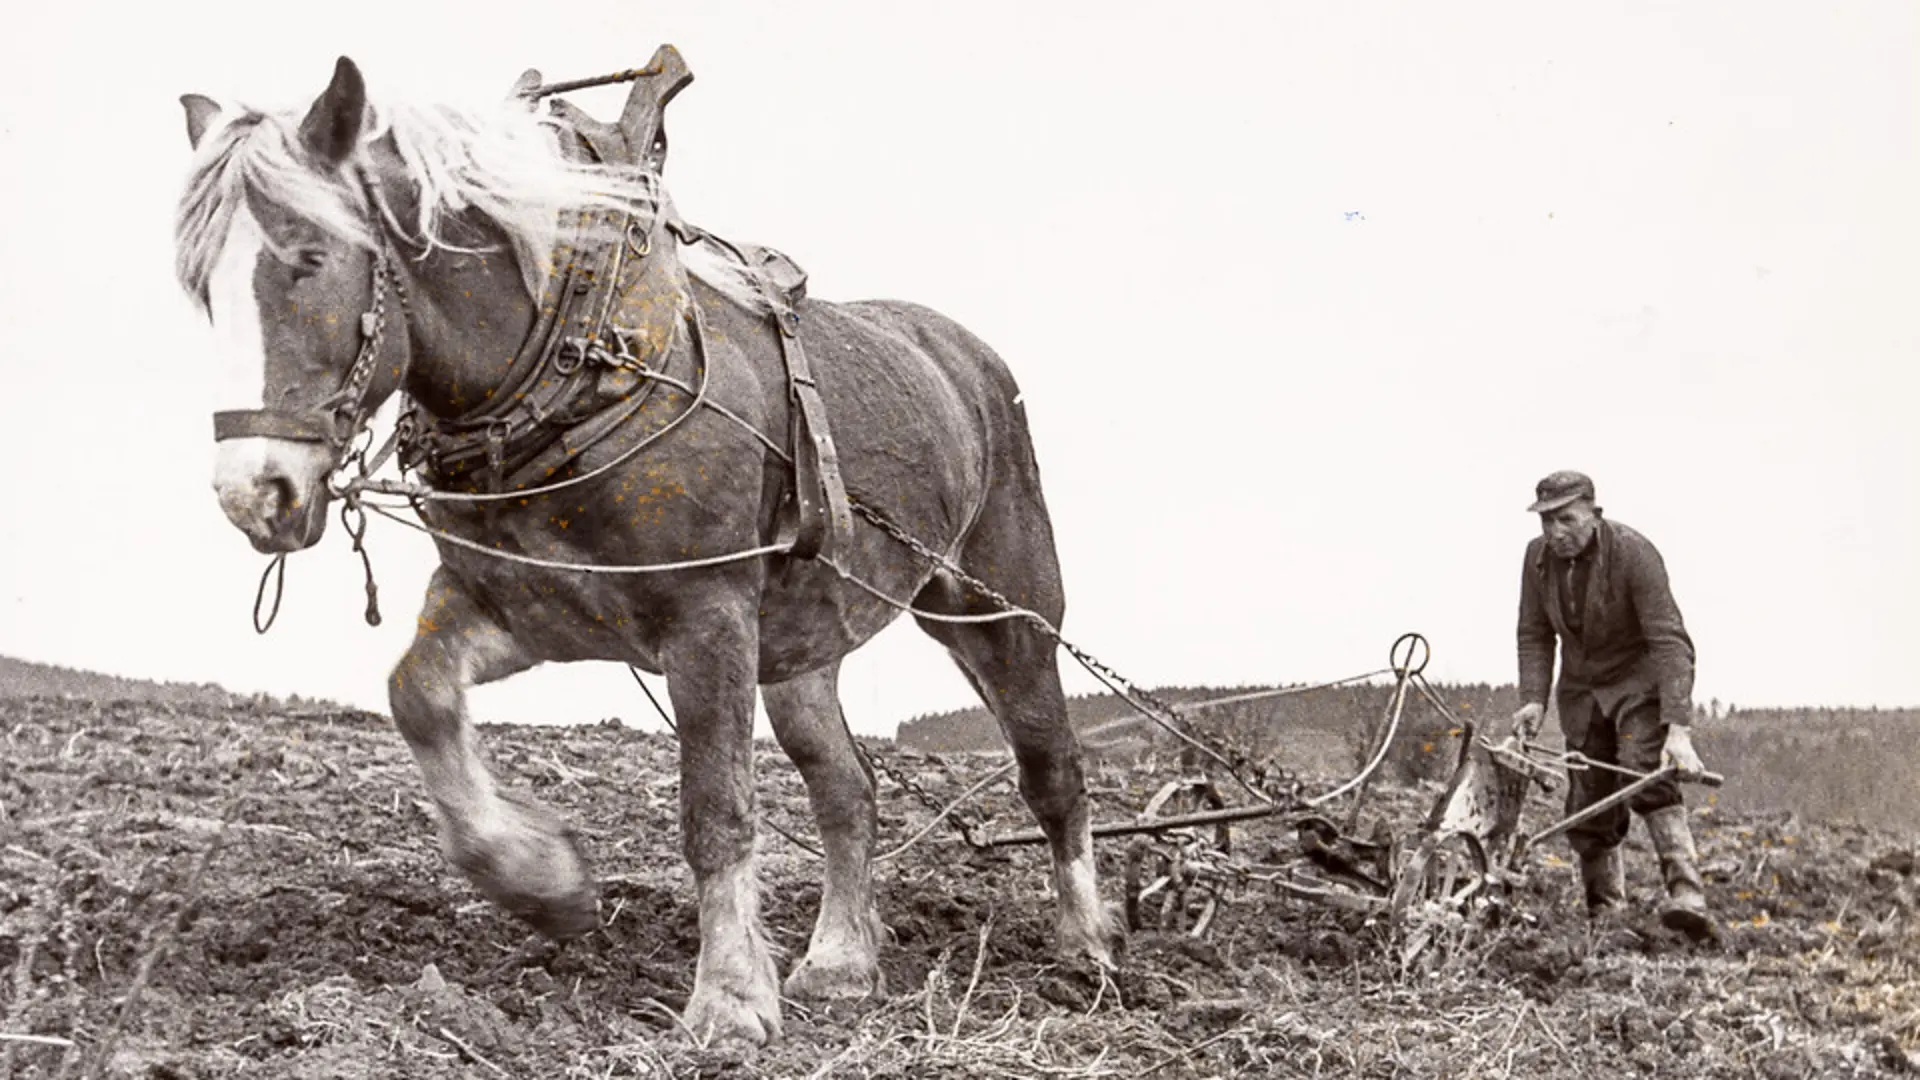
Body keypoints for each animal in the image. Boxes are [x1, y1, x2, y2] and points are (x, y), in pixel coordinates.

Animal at [172, 55, 1121, 1045]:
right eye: (199, 289)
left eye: (309, 259)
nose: (253, 492)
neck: (579, 355)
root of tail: (967, 357)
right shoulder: (520, 606)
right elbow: (419, 697)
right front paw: (542, 881)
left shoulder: (708, 616)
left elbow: (716, 811)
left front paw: (731, 999)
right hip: (799, 647)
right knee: (846, 786)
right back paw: (840, 961)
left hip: (1001, 610)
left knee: (1052, 772)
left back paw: (1087, 946)